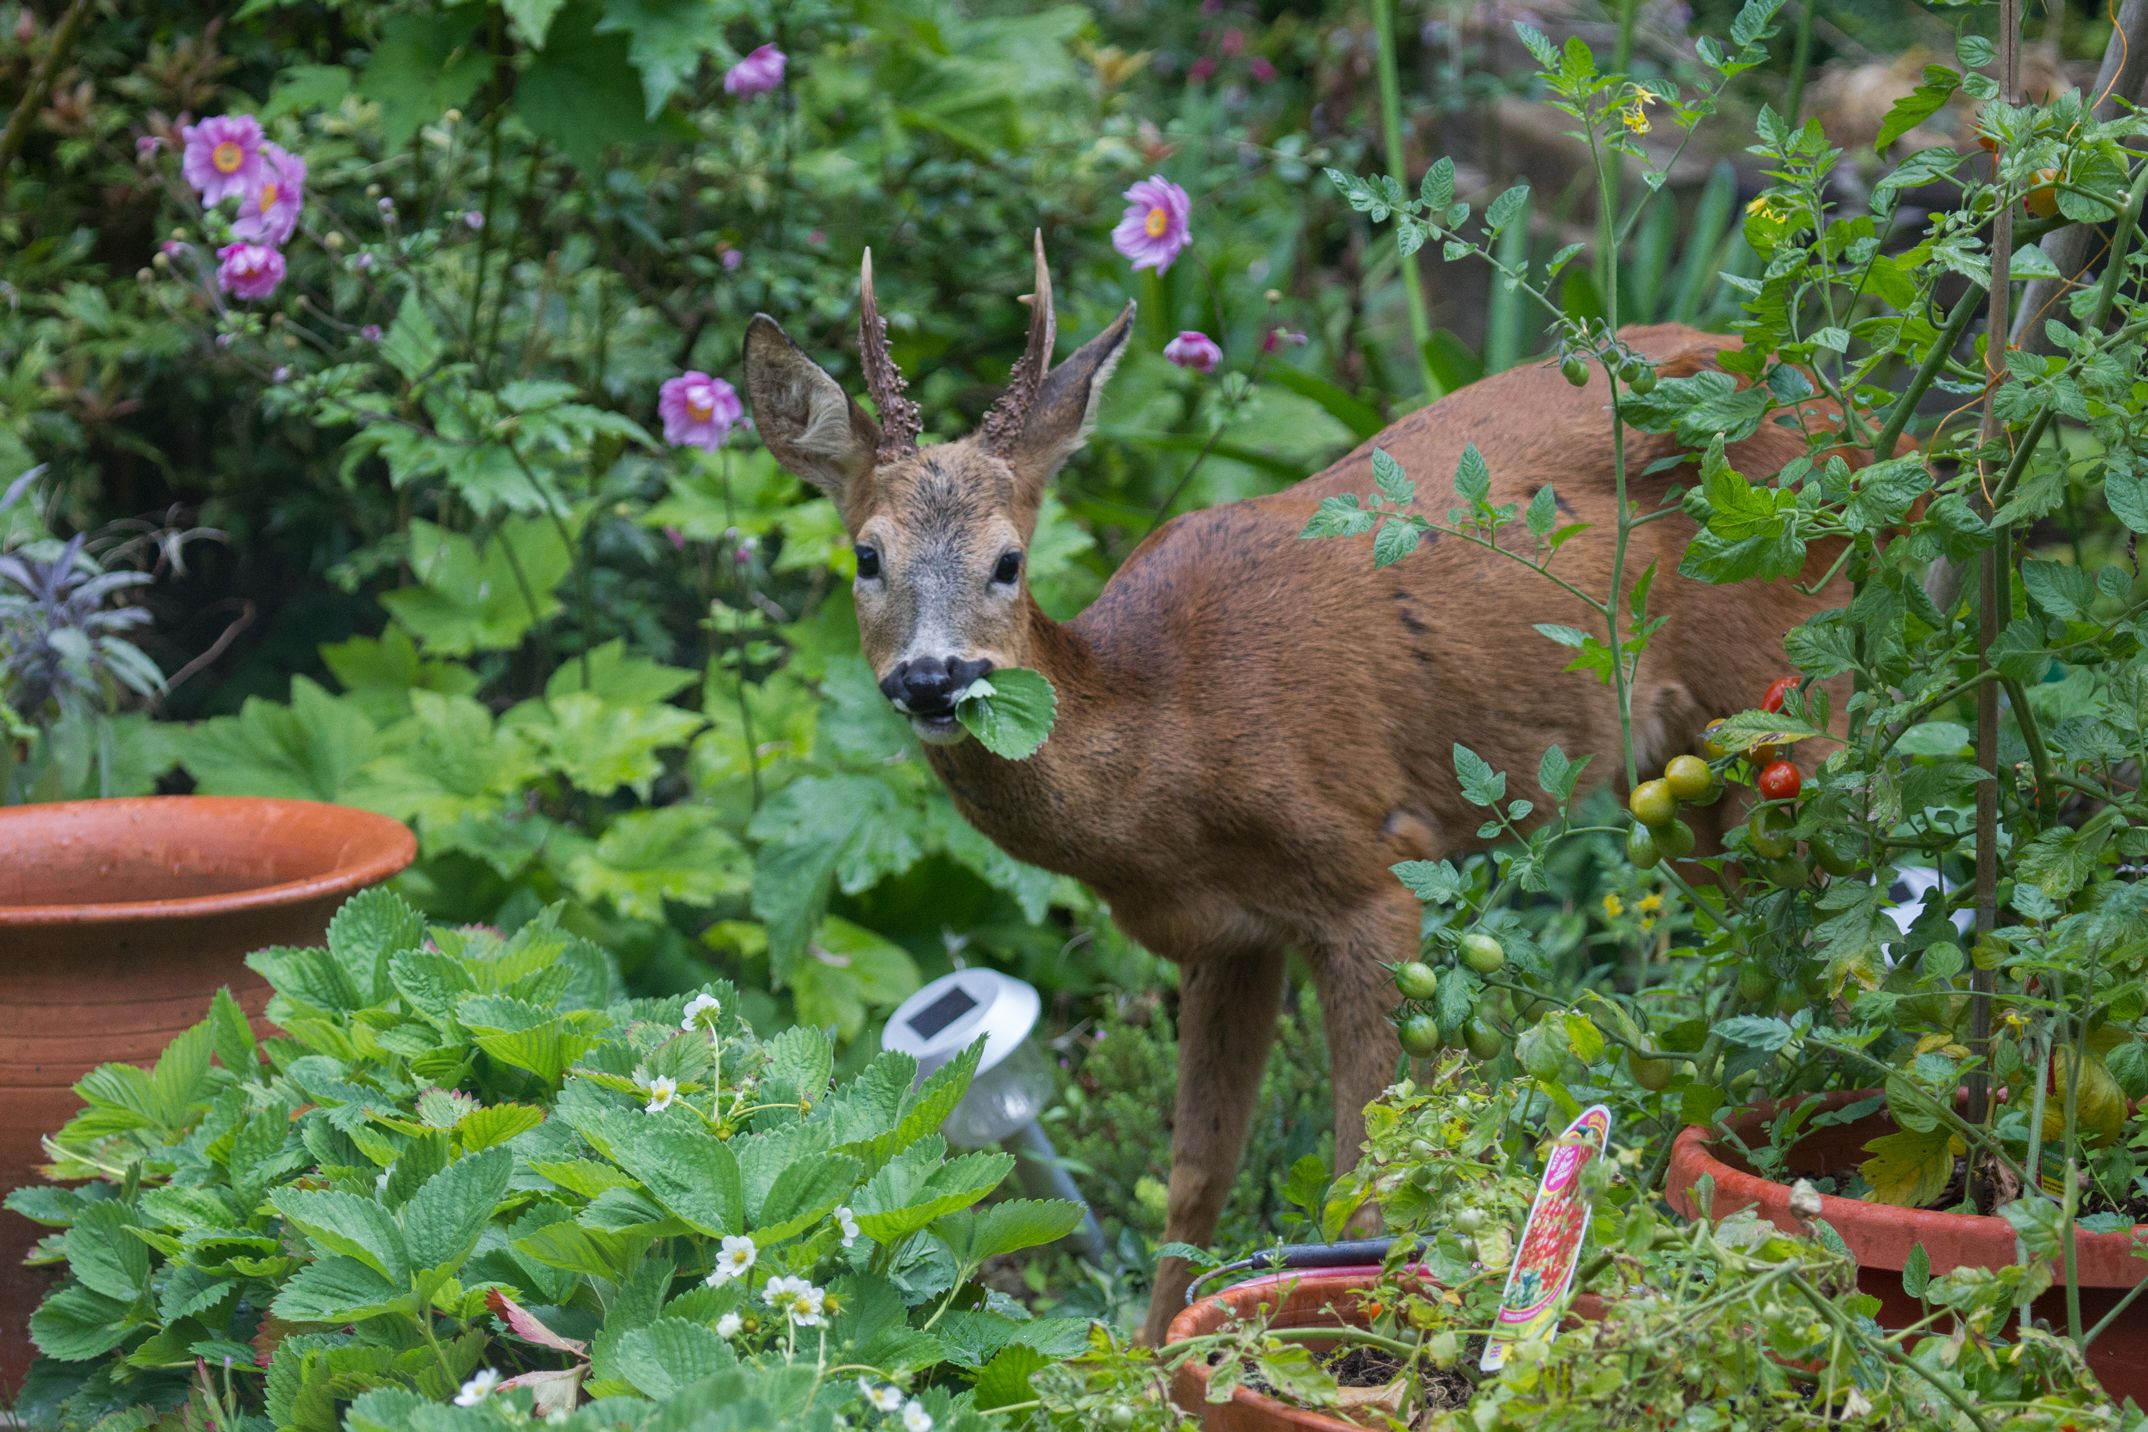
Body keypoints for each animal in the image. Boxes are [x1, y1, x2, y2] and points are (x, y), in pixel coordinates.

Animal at [747, 238, 1855, 1348]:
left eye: (1009, 561)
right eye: (867, 555)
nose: (935, 679)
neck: (1173, 738)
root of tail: (1825, 395)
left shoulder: (1373, 871)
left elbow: (1367, 1174)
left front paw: (1355, 1330)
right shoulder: (1225, 937)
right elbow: (1195, 1171)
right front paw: (1153, 1357)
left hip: (1790, 684)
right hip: (1671, 774)